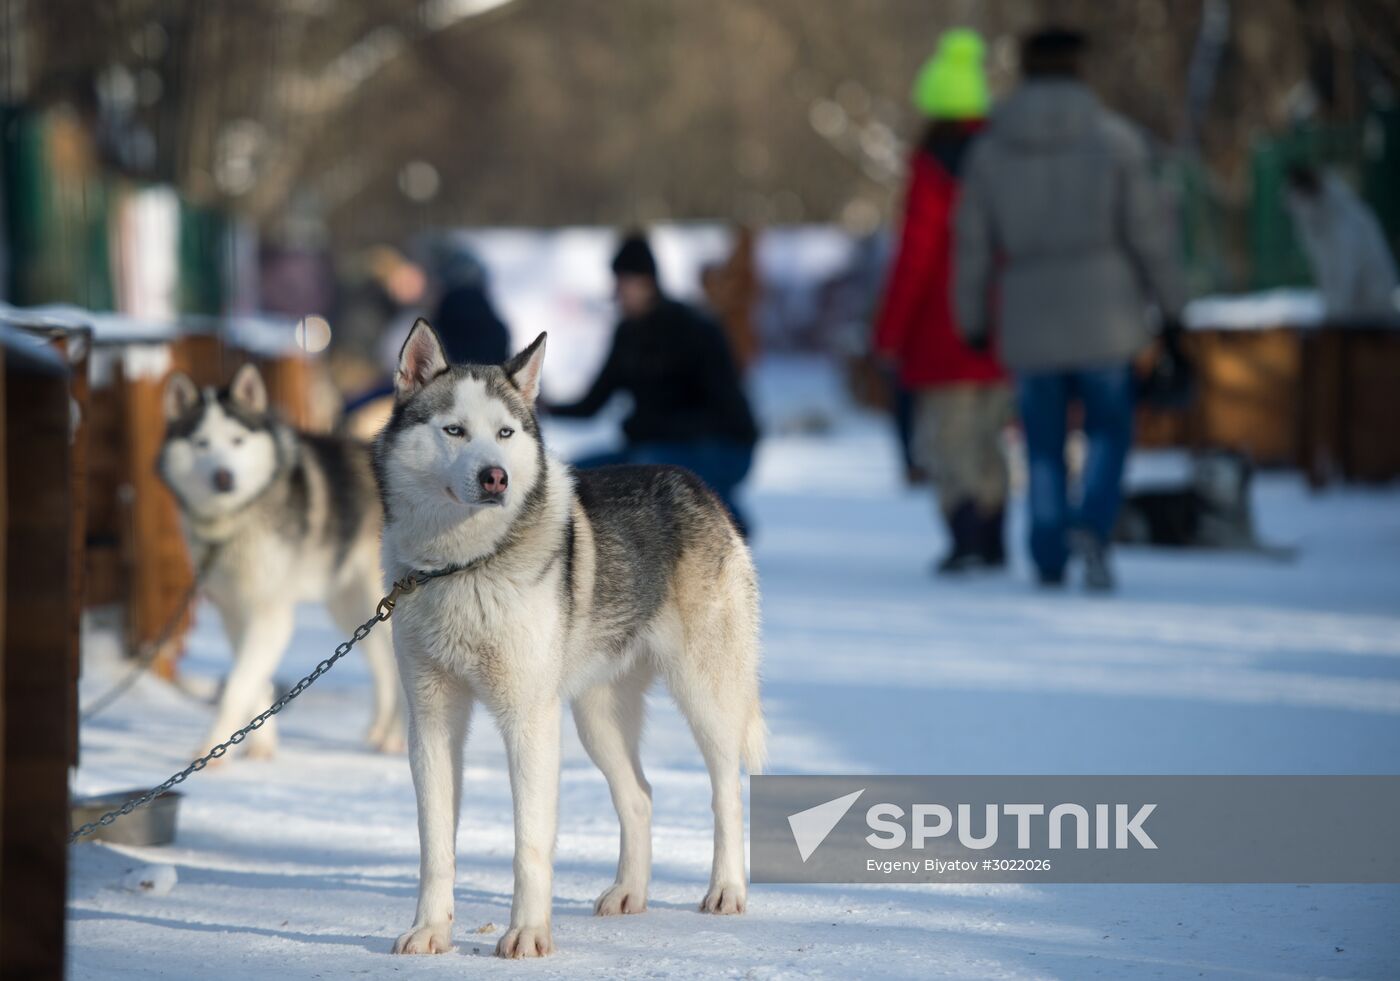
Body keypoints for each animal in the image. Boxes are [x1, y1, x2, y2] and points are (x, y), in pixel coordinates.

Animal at [163, 366, 408, 755]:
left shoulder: (270, 612)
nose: (224, 477)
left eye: (237, 440)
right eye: (201, 443)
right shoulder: (233, 610)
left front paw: (211, 753)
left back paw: (395, 737)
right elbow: (254, 682)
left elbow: (237, 687)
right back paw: (379, 731)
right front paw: (259, 747)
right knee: (383, 666)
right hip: (353, 607)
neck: (237, 518)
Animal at [372, 321, 767, 957]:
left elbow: (529, 845)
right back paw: (629, 893)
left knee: (725, 791)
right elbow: (435, 847)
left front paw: (528, 935)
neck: (463, 565)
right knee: (640, 797)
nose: (496, 477)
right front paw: (430, 930)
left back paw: (726, 890)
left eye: (505, 433)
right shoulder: (432, 718)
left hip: (704, 696)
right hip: (597, 718)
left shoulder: (529, 720)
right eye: (453, 430)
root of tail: (693, 483)